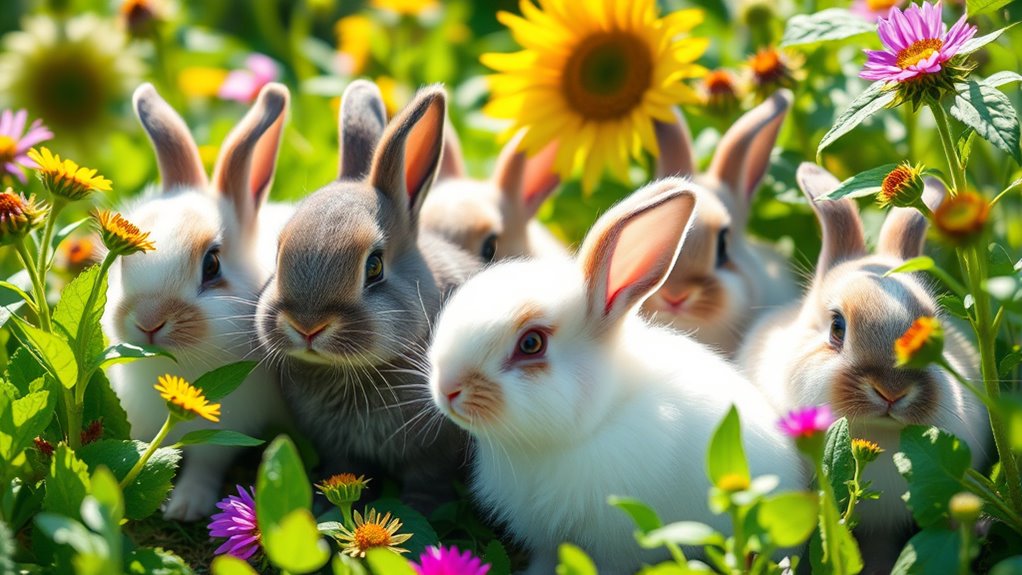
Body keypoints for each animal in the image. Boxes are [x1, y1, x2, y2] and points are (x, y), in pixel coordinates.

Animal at [104, 82, 293, 521]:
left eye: (212, 265)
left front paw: (186, 506)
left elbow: (205, 464)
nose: (149, 321)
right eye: (121, 262)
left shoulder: (223, 431)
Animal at [254, 80, 481, 512]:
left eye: (374, 267)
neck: (350, 370)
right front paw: (327, 506)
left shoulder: (435, 451)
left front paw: (417, 508)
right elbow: (342, 471)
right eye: (276, 253)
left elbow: (427, 480)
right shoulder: (338, 448)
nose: (307, 326)